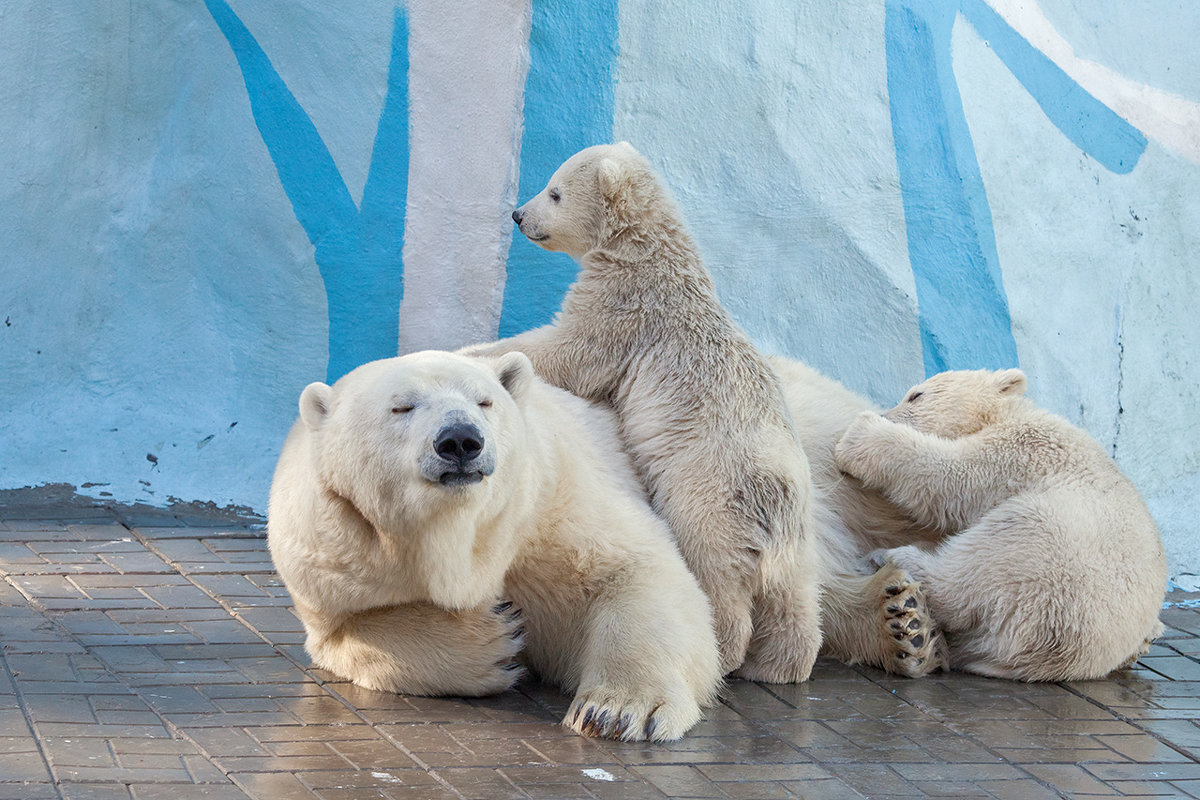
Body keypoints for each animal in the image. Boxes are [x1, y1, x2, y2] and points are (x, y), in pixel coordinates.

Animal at [267, 352, 715, 743]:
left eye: (485, 400)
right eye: (402, 407)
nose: (460, 439)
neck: (454, 534)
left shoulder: (549, 506)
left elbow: (634, 565)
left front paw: (619, 711)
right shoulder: (332, 557)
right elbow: (345, 632)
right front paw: (494, 640)